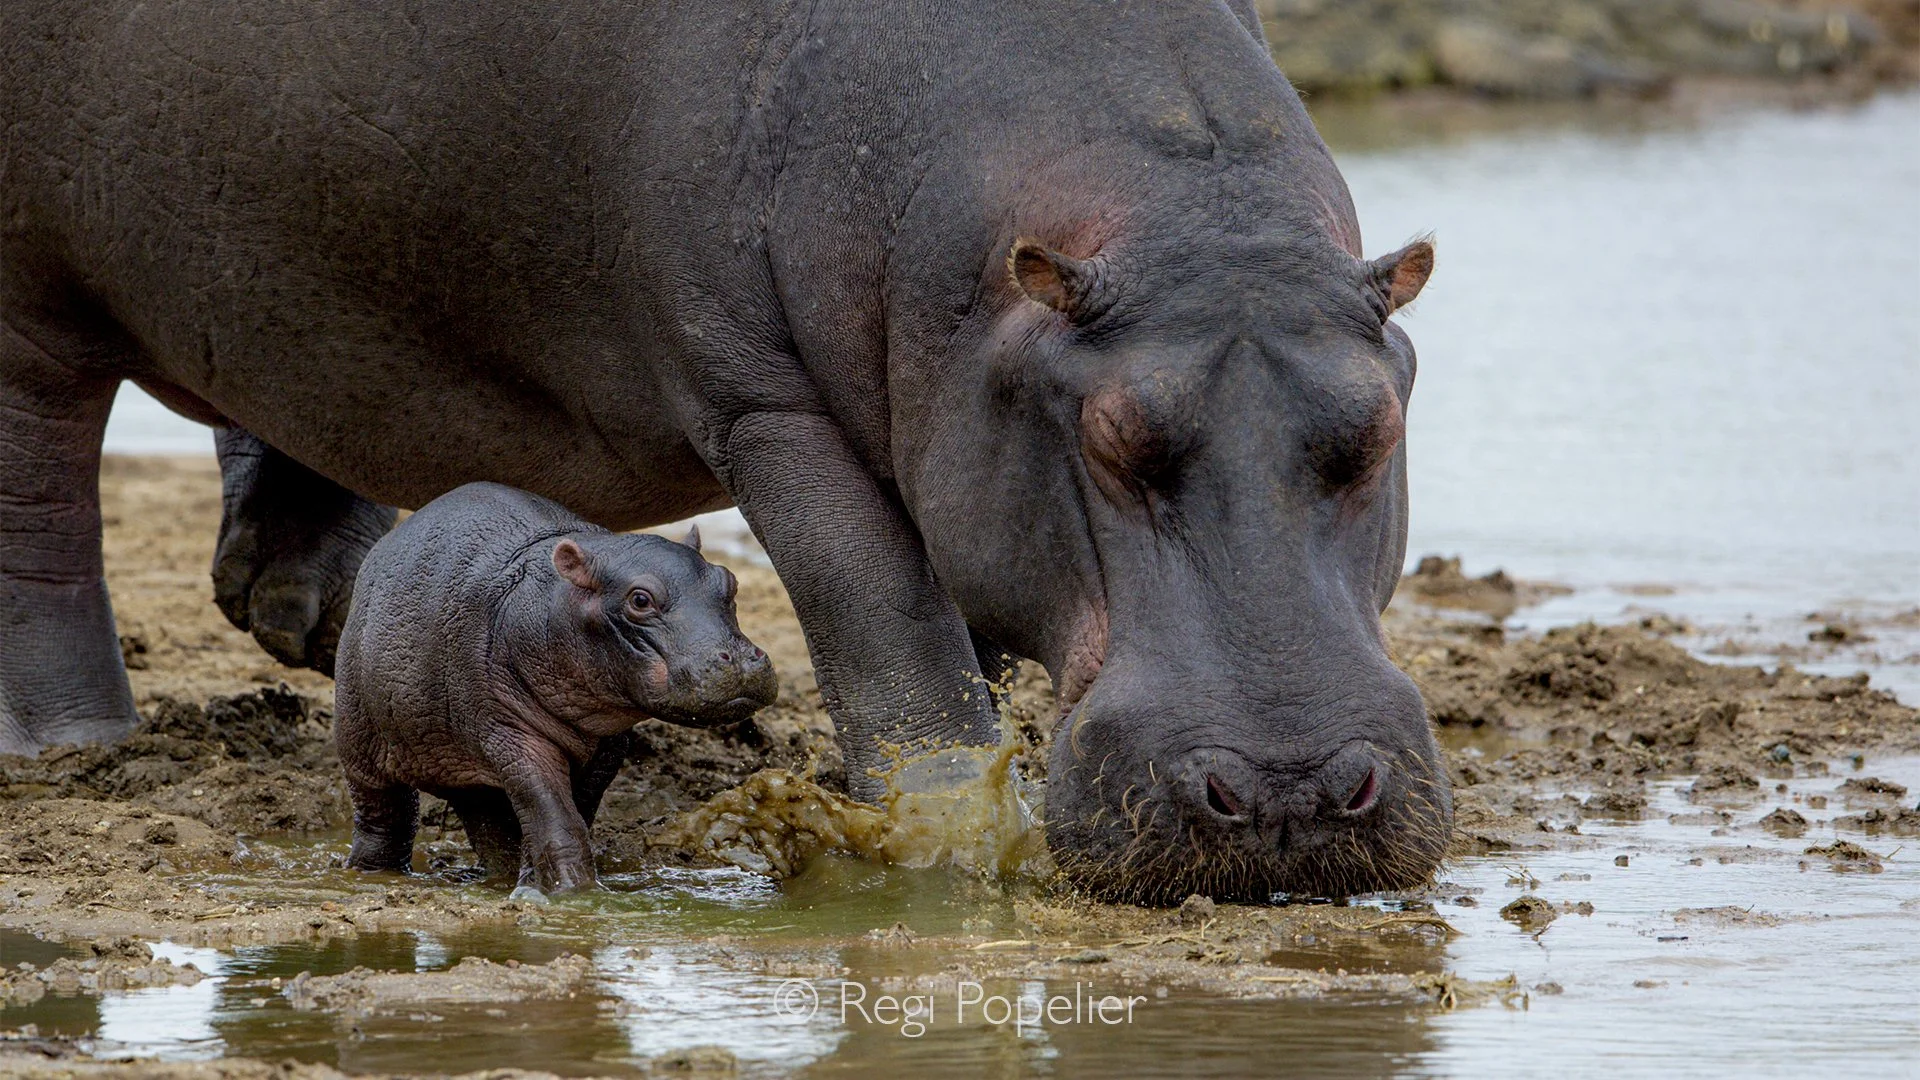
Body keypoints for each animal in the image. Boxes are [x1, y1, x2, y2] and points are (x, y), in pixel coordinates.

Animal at [334, 482, 775, 891]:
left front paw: (534, 882)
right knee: (384, 815)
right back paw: (370, 872)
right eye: (640, 600)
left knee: (487, 820)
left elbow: (565, 812)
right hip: (361, 738)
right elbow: (551, 809)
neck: (554, 603)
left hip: (460, 757)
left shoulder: (606, 744)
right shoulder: (508, 731)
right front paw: (572, 891)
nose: (739, 660)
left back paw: (498, 875)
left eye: (730, 582)